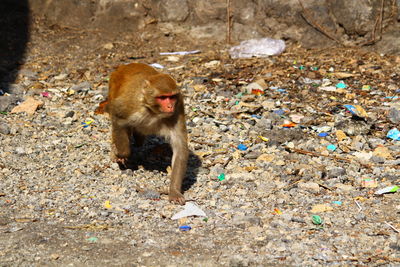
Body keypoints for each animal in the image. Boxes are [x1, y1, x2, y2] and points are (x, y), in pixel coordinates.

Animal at [97, 63, 190, 205]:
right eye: (163, 97)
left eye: (171, 97)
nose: (170, 106)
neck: (152, 111)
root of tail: (125, 66)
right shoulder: (129, 106)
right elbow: (118, 119)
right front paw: (121, 153)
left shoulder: (178, 106)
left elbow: (179, 148)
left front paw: (174, 191)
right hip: (112, 88)